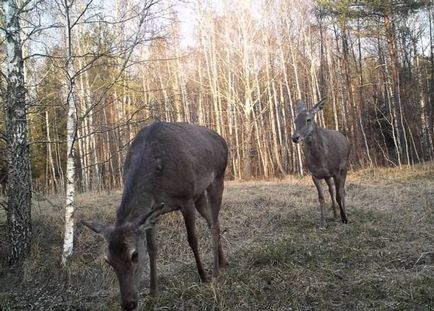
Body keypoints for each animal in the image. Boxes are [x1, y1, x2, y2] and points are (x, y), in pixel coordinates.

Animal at [82, 121, 229, 310]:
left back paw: (216, 271)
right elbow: (153, 248)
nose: (128, 303)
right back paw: (223, 261)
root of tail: (221, 139)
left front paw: (203, 277)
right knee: (212, 222)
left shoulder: (186, 199)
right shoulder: (152, 212)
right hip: (199, 195)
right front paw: (153, 291)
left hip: (217, 178)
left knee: (215, 224)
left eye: (134, 255)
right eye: (108, 261)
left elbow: (192, 239)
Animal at [292, 99, 350, 229]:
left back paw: (343, 214)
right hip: (327, 176)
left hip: (345, 166)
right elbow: (321, 197)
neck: (321, 158)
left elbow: (339, 195)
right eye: (295, 121)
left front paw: (344, 218)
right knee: (331, 190)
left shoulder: (336, 171)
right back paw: (335, 215)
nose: (295, 137)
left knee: (342, 190)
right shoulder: (315, 175)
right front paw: (322, 223)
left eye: (308, 119)